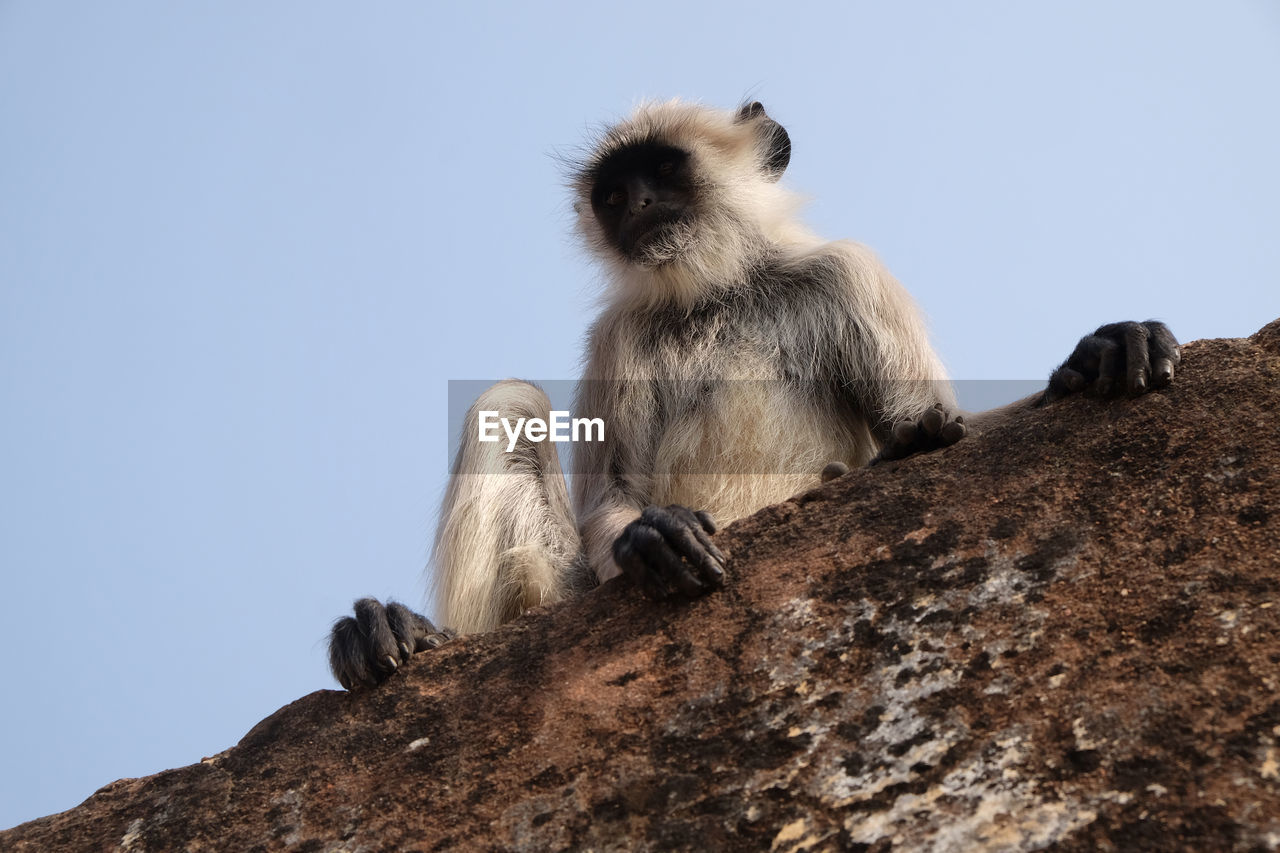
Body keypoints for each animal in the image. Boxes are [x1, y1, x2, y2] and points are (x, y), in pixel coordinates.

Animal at [327, 99, 1177, 686]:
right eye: (613, 194)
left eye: (665, 172)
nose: (636, 206)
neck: (719, 291)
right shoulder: (619, 335)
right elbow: (616, 495)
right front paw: (651, 535)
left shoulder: (848, 273)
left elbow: (931, 428)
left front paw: (1095, 357)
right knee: (510, 405)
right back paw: (408, 637)